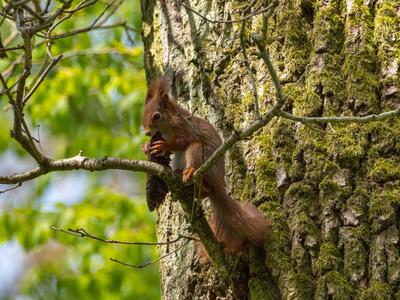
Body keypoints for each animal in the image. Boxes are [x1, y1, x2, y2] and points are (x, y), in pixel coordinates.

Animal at [142, 77, 270, 253]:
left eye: (157, 116)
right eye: (143, 114)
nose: (147, 133)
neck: (169, 126)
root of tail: (218, 185)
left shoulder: (187, 127)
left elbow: (183, 141)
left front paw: (164, 145)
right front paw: (146, 147)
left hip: (198, 155)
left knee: (195, 154)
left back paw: (189, 172)